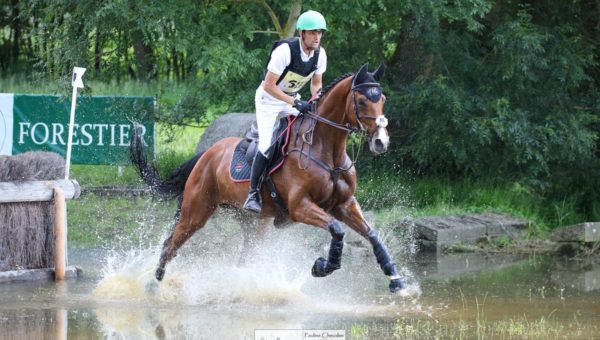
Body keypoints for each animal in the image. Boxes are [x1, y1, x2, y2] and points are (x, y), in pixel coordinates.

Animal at [131, 62, 408, 290]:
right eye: (361, 101)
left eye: (382, 98)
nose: (381, 142)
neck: (327, 151)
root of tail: (205, 155)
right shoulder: (300, 207)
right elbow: (337, 229)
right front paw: (322, 267)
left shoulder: (344, 204)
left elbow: (372, 234)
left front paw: (395, 278)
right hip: (196, 211)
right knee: (171, 244)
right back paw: (153, 284)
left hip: (253, 222)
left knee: (244, 256)